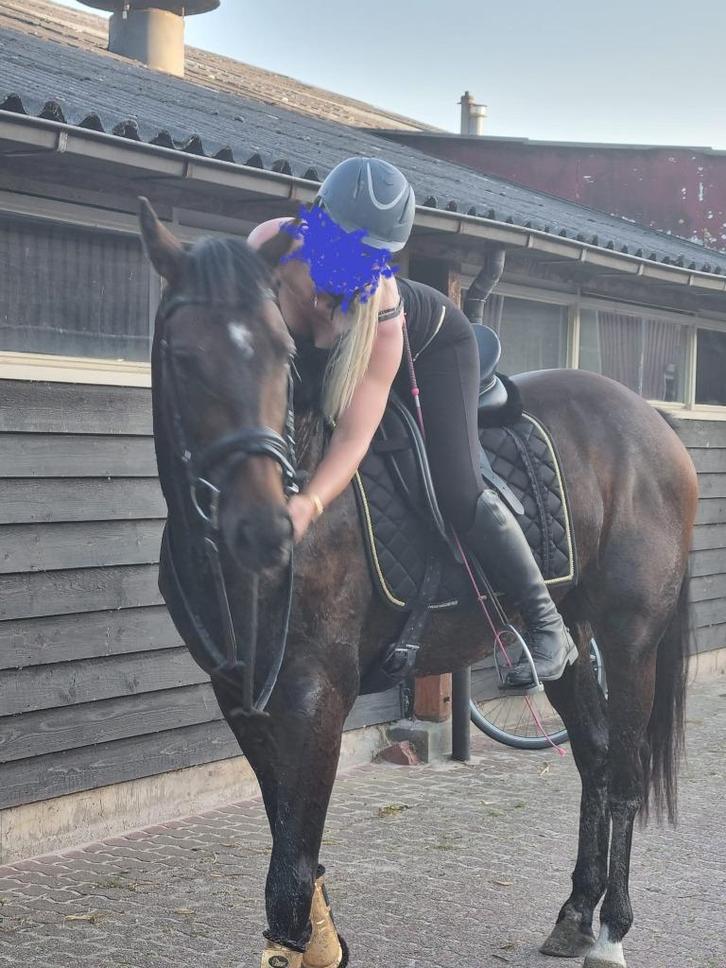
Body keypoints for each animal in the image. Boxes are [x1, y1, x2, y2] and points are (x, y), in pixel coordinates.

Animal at [138, 197, 698, 968]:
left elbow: (290, 869)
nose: (264, 528)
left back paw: (611, 930)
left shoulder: (316, 698)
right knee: (594, 754)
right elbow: (289, 845)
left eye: (282, 355)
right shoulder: (243, 699)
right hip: (575, 633)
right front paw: (323, 943)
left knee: (625, 774)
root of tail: (652, 420)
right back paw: (575, 913)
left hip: (632, 637)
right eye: (183, 355)